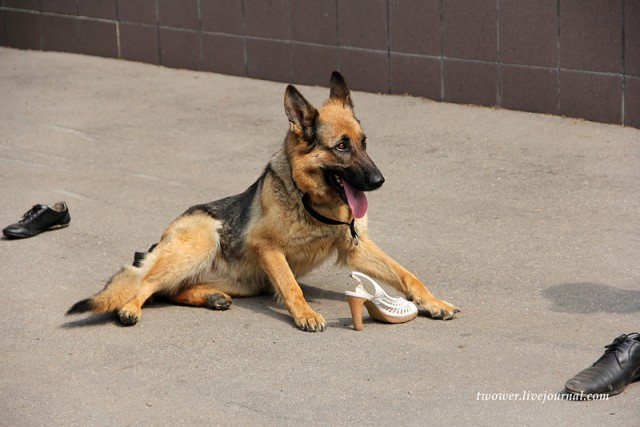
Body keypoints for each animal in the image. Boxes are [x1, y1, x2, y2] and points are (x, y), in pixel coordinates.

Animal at [66, 72, 460, 332]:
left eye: (364, 143)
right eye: (341, 147)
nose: (379, 181)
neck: (310, 201)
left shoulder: (356, 247)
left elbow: (407, 274)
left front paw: (433, 303)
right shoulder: (268, 248)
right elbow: (290, 284)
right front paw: (304, 313)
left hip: (240, 282)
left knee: (169, 290)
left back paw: (210, 297)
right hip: (201, 242)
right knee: (144, 284)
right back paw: (130, 308)